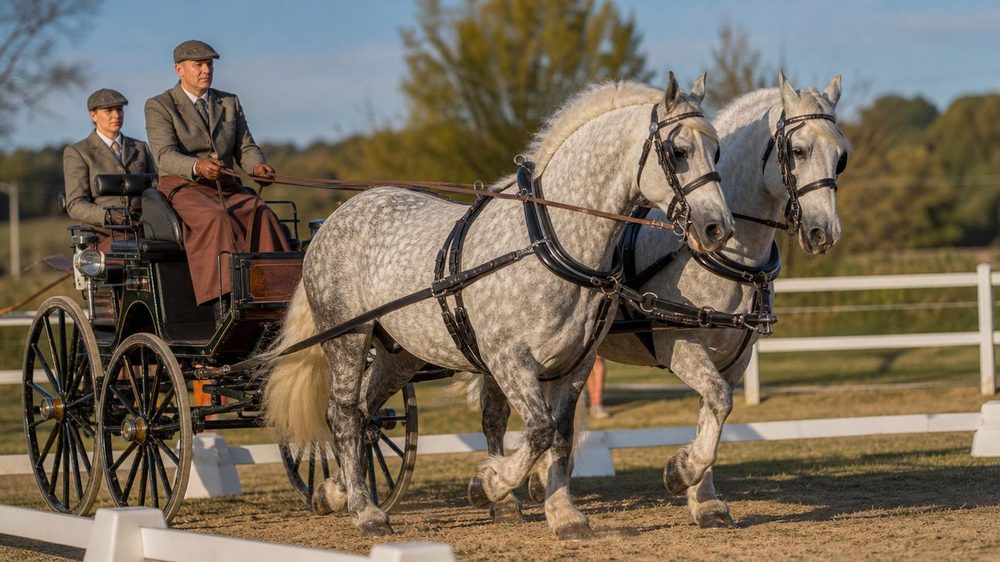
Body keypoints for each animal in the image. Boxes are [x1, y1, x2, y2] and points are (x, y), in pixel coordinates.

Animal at [261, 73, 734, 539]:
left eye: (717, 151)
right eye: (678, 151)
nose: (718, 228)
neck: (551, 241)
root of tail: (335, 218)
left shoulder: (576, 363)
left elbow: (560, 434)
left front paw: (563, 513)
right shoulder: (509, 359)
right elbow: (539, 430)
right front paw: (489, 483)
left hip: (401, 354)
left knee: (364, 413)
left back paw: (335, 491)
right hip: (347, 337)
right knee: (342, 416)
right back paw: (366, 510)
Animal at [476, 72, 850, 528]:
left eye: (840, 157)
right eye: (798, 151)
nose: (823, 233)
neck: (729, 258)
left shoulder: (735, 357)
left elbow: (714, 414)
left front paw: (705, 500)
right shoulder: (680, 345)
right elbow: (718, 402)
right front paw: (680, 472)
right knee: (495, 416)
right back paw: (502, 494)